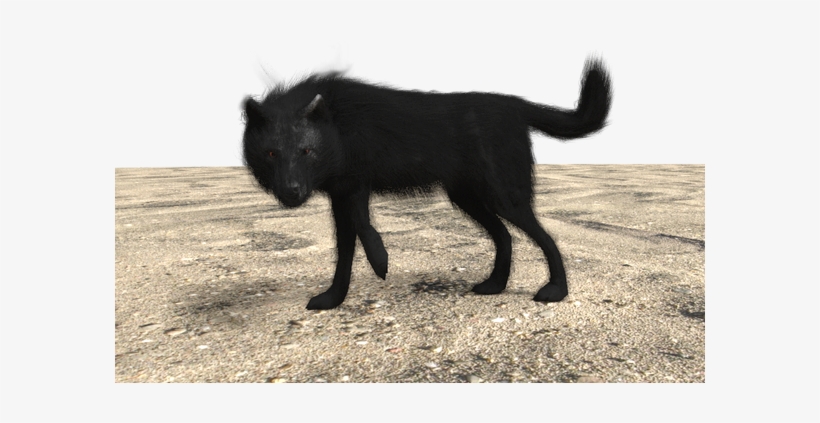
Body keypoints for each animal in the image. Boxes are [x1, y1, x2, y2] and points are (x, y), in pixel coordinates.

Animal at [242, 58, 612, 310]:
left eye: (306, 151)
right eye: (272, 153)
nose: (291, 192)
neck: (335, 123)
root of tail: (514, 104)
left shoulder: (355, 187)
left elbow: (363, 227)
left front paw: (380, 260)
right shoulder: (341, 196)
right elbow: (345, 251)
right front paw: (333, 298)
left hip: (504, 197)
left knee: (546, 238)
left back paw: (556, 291)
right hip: (468, 198)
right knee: (505, 236)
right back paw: (494, 285)